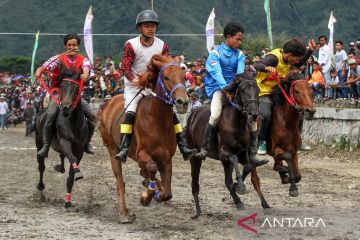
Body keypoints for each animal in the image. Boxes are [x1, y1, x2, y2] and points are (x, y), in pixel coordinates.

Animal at [35, 78, 88, 208]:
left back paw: (59, 168)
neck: (73, 122)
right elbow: (72, 159)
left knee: (62, 158)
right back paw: (41, 187)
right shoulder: (65, 142)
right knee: (41, 166)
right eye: (61, 87)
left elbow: (72, 172)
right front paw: (78, 173)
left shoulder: (79, 150)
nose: (66, 107)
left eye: (77, 89)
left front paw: (68, 202)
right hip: (39, 141)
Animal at [97, 54, 190, 223]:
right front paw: (146, 196)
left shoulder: (166, 159)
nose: (183, 102)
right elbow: (152, 169)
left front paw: (157, 193)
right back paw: (124, 214)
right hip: (113, 150)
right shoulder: (142, 154)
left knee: (144, 173)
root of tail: (107, 103)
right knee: (121, 182)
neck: (158, 120)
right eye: (166, 77)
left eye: (183, 76)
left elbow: (167, 193)